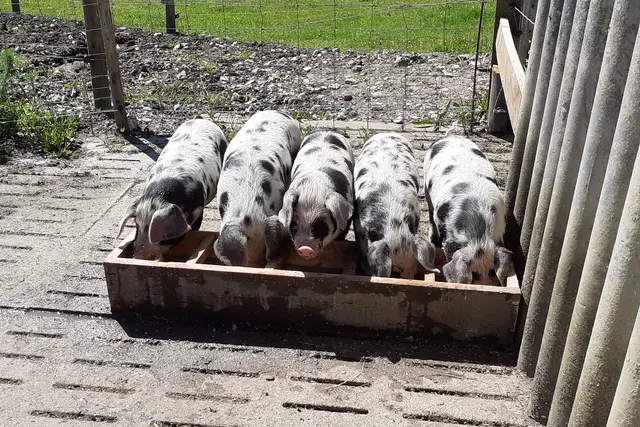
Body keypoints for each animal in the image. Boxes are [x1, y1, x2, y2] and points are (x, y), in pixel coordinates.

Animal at [116, 117, 228, 260]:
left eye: (163, 236)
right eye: (137, 226)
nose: (138, 257)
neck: (160, 194)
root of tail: (200, 119)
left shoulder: (198, 209)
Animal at [423, 135, 514, 286]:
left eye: (492, 272)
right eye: (474, 275)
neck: (479, 236)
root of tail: (451, 136)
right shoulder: (449, 241)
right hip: (425, 185)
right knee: (430, 215)